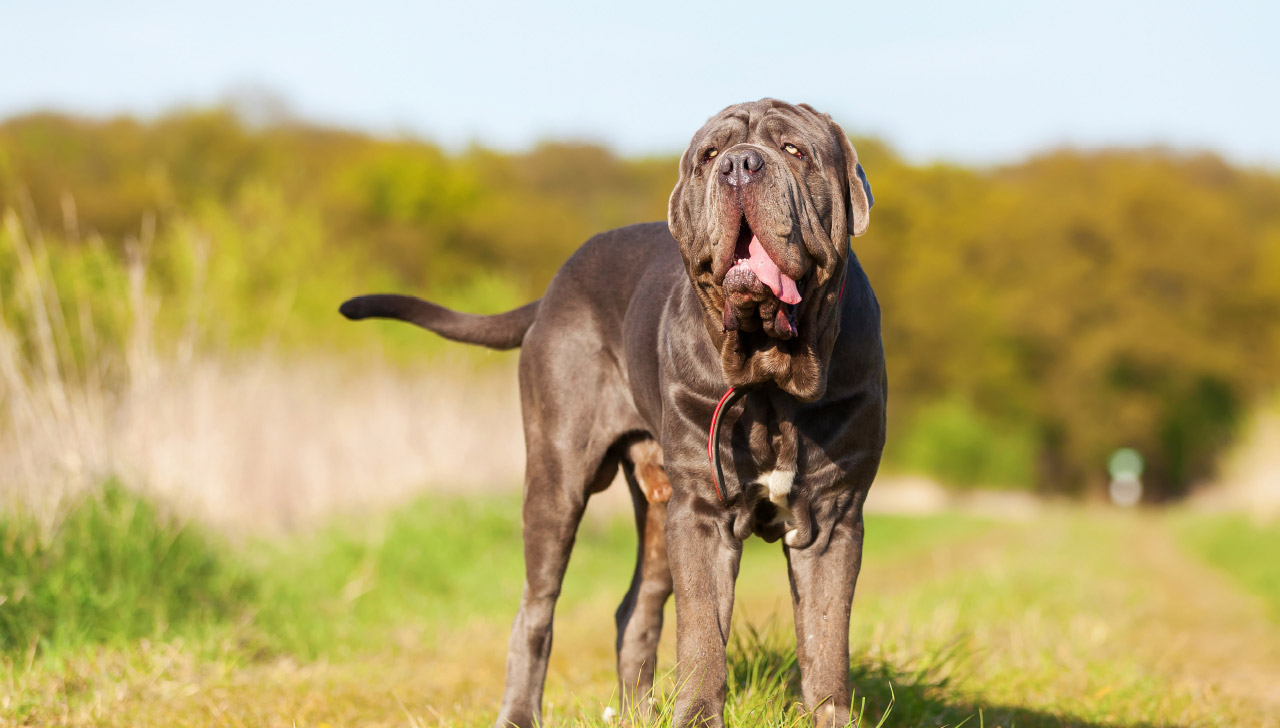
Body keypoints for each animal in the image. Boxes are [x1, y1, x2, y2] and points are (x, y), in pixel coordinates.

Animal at [337, 97, 880, 726]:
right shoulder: (702, 515)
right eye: (709, 156)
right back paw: (519, 713)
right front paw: (697, 717)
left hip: (658, 509)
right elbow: (702, 638)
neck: (770, 374)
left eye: (794, 150)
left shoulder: (833, 518)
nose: (740, 165)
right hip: (559, 482)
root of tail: (553, 289)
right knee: (536, 608)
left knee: (635, 609)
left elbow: (826, 643)